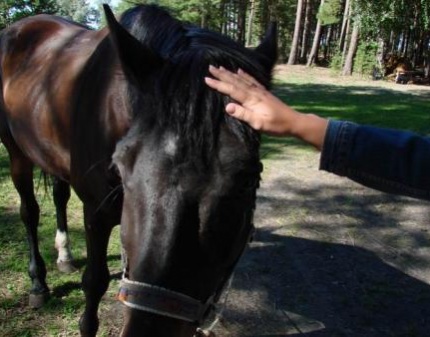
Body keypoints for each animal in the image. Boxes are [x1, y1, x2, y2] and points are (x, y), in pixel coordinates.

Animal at [0, 3, 276, 336]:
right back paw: (38, 284)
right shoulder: (96, 213)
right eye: (121, 166)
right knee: (29, 212)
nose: (150, 329)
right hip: (15, 151)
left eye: (248, 179)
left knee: (59, 196)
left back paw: (64, 256)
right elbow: (95, 282)